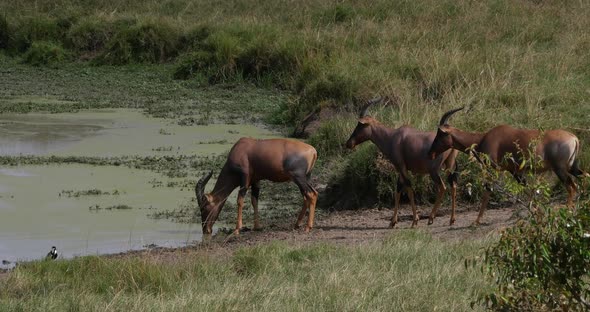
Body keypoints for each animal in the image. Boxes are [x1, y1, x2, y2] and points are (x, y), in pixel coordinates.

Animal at [346, 98, 462, 228]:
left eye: (360, 125)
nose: (349, 143)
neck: (393, 136)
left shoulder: (401, 167)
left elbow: (408, 189)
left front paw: (414, 221)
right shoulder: (401, 169)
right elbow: (398, 190)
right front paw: (392, 222)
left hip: (434, 171)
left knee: (442, 187)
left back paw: (431, 218)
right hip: (449, 166)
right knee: (453, 185)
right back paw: (452, 220)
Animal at [430, 107, 588, 224]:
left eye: (439, 135)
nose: (431, 153)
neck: (484, 138)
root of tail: (574, 138)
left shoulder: (493, 170)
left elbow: (487, 192)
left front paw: (476, 221)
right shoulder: (515, 171)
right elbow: (528, 190)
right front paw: (537, 213)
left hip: (560, 169)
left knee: (572, 187)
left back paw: (568, 211)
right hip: (572, 167)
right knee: (584, 177)